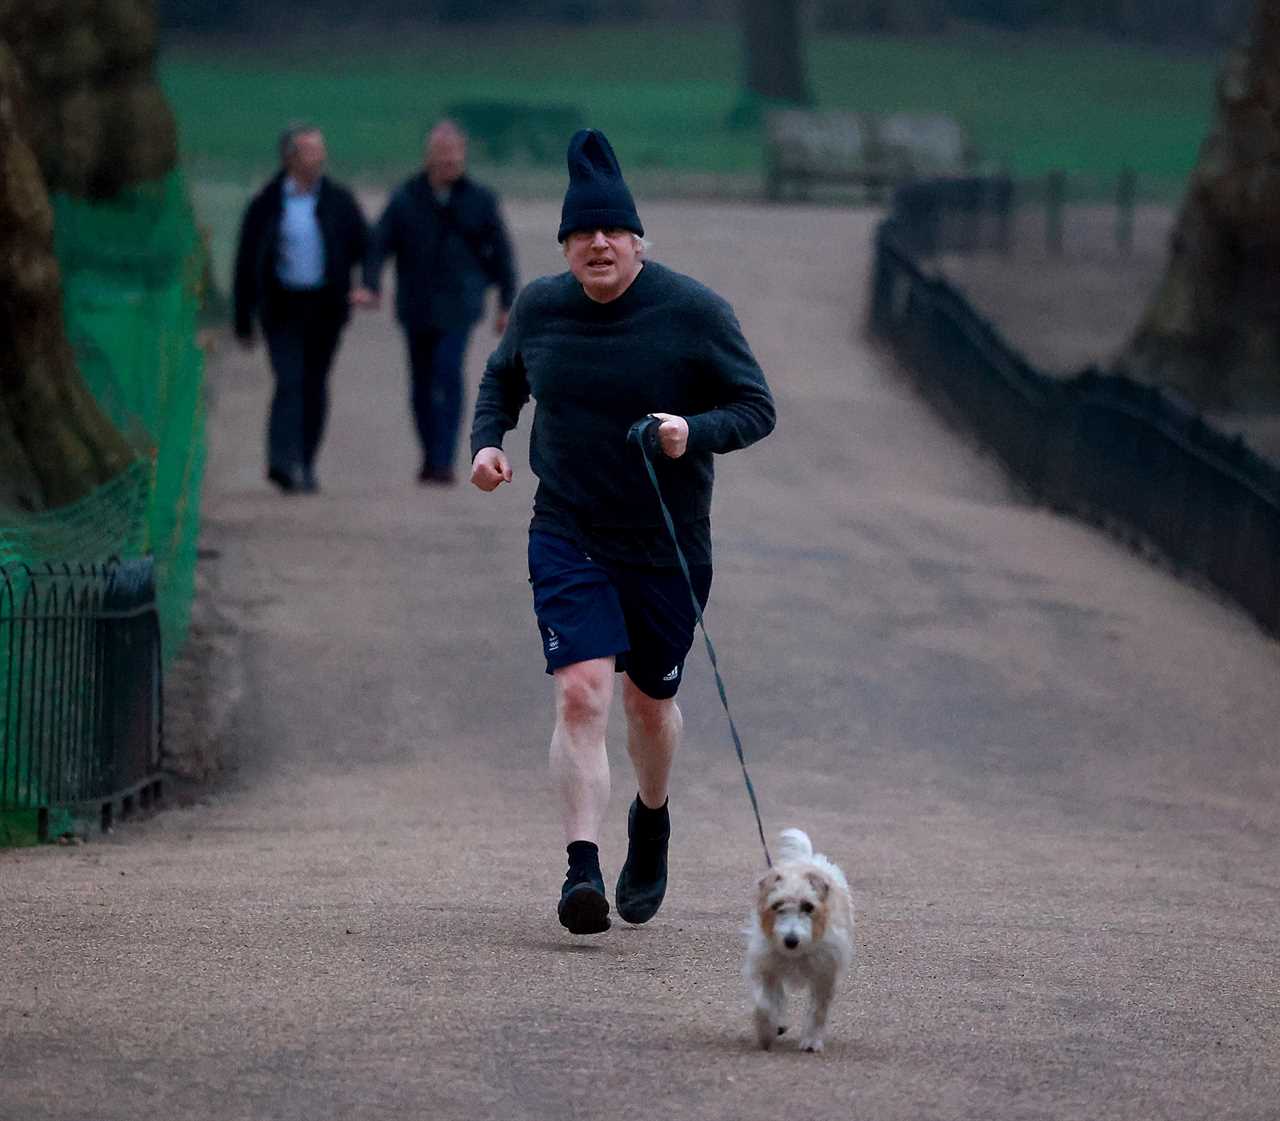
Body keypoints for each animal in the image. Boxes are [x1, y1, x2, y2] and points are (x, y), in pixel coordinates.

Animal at [747, 824, 855, 1049]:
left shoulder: (824, 973)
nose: (791, 941)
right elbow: (764, 1003)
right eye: (777, 905)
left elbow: (818, 1010)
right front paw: (766, 1030)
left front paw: (811, 1041)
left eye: (808, 906)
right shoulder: (768, 966)